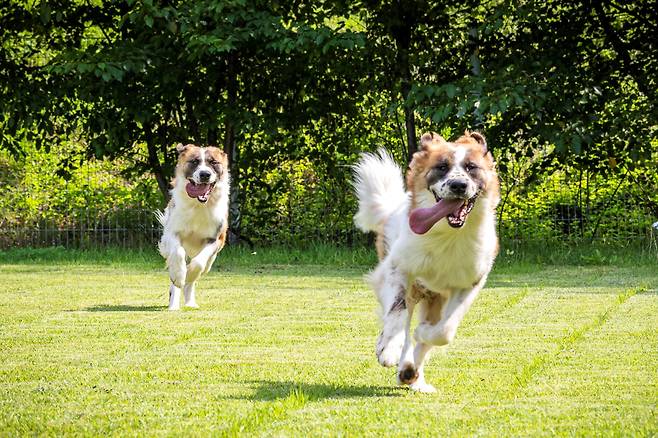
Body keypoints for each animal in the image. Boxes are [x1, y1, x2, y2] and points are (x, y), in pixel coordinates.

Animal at [157, 144, 231, 312]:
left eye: (213, 162)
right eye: (194, 161)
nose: (205, 174)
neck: (199, 205)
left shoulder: (216, 239)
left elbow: (198, 263)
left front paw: (189, 274)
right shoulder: (172, 233)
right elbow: (177, 254)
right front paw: (179, 276)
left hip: (211, 262)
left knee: (199, 270)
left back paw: (190, 302)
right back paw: (174, 304)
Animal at [354, 131, 498, 394]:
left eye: (471, 167)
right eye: (441, 167)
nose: (458, 185)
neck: (448, 236)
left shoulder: (469, 284)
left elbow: (444, 330)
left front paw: (423, 334)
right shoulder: (398, 269)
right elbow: (397, 313)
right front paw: (388, 350)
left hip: (435, 298)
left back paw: (412, 374)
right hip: (409, 288)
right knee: (401, 323)